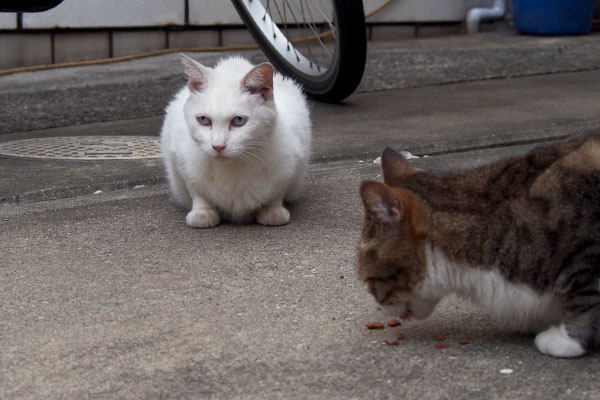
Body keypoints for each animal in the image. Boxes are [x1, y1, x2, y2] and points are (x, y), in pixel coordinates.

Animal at [159, 54, 312, 227]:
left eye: (239, 121)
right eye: (204, 120)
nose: (218, 146)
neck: (234, 166)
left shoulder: (291, 162)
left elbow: (276, 192)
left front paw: (272, 209)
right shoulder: (181, 162)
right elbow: (198, 192)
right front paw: (203, 212)